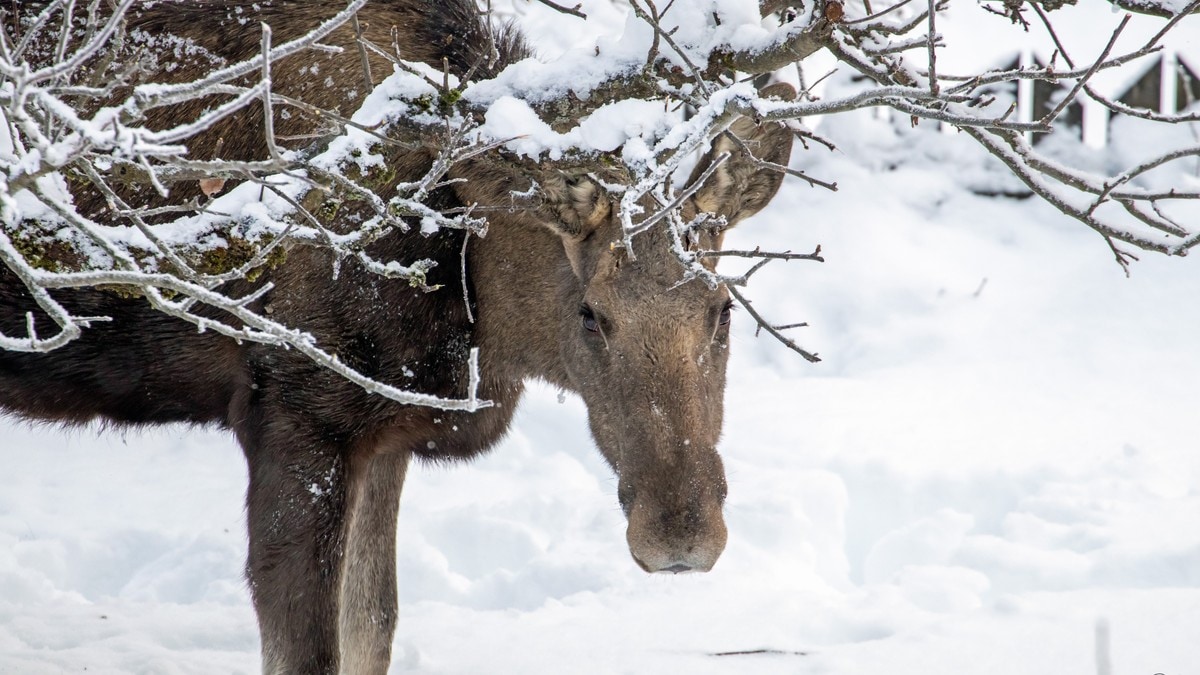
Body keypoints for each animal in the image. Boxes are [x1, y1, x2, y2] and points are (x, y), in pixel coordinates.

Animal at [2, 2, 796, 667]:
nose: (682, 534)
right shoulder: (295, 415)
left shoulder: (382, 435)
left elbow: (373, 629)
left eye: (723, 308)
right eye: (591, 312)